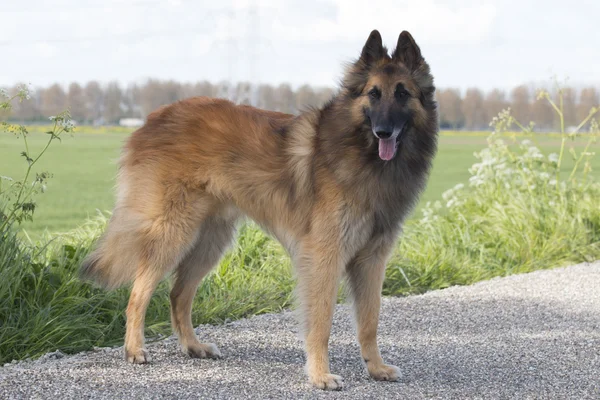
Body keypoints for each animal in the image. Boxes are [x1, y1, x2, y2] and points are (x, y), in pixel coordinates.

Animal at [81, 28, 436, 390]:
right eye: (373, 94)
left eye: (402, 93)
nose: (383, 131)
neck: (363, 155)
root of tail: (151, 119)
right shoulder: (325, 257)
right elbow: (321, 321)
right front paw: (320, 374)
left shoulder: (371, 260)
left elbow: (370, 321)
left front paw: (376, 367)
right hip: (173, 232)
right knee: (139, 293)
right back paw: (134, 349)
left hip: (210, 241)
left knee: (178, 294)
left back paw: (193, 346)